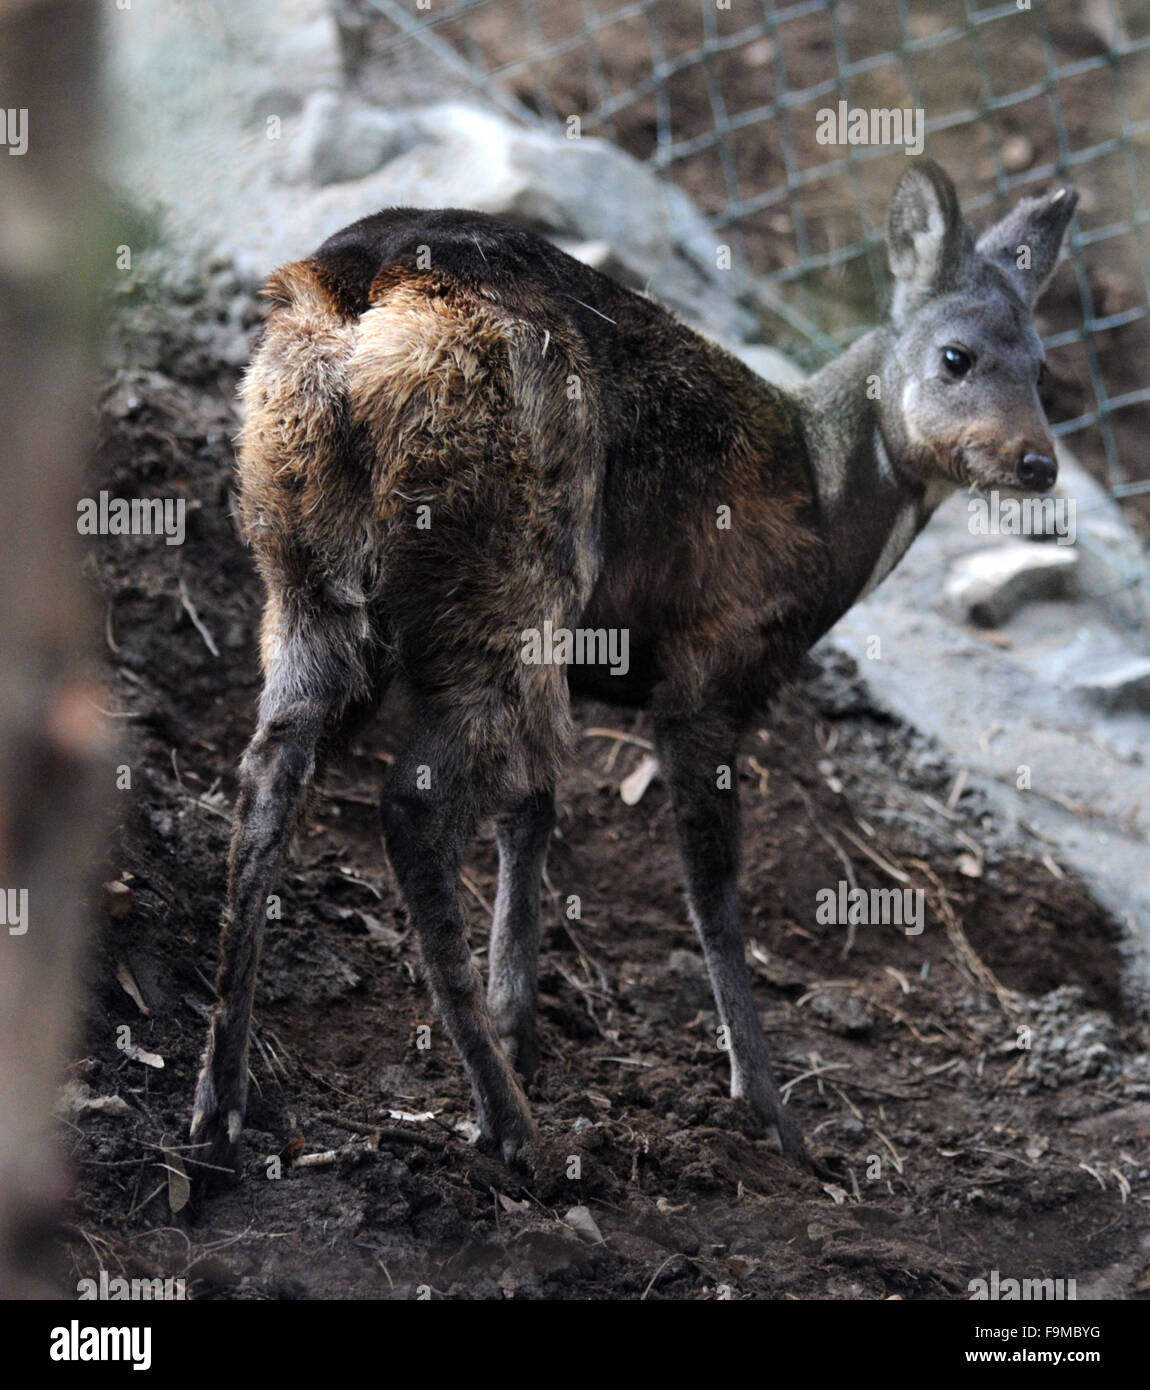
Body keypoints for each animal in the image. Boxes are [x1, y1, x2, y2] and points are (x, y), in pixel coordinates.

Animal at [189, 162, 1079, 1184]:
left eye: (1044, 369)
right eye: (956, 357)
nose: (1038, 464)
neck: (823, 507)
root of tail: (357, 285)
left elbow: (534, 810)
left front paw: (521, 1022)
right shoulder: (716, 666)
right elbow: (712, 884)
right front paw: (770, 1114)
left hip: (305, 558)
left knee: (270, 769)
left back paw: (221, 1110)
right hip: (518, 559)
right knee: (412, 803)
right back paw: (510, 1130)